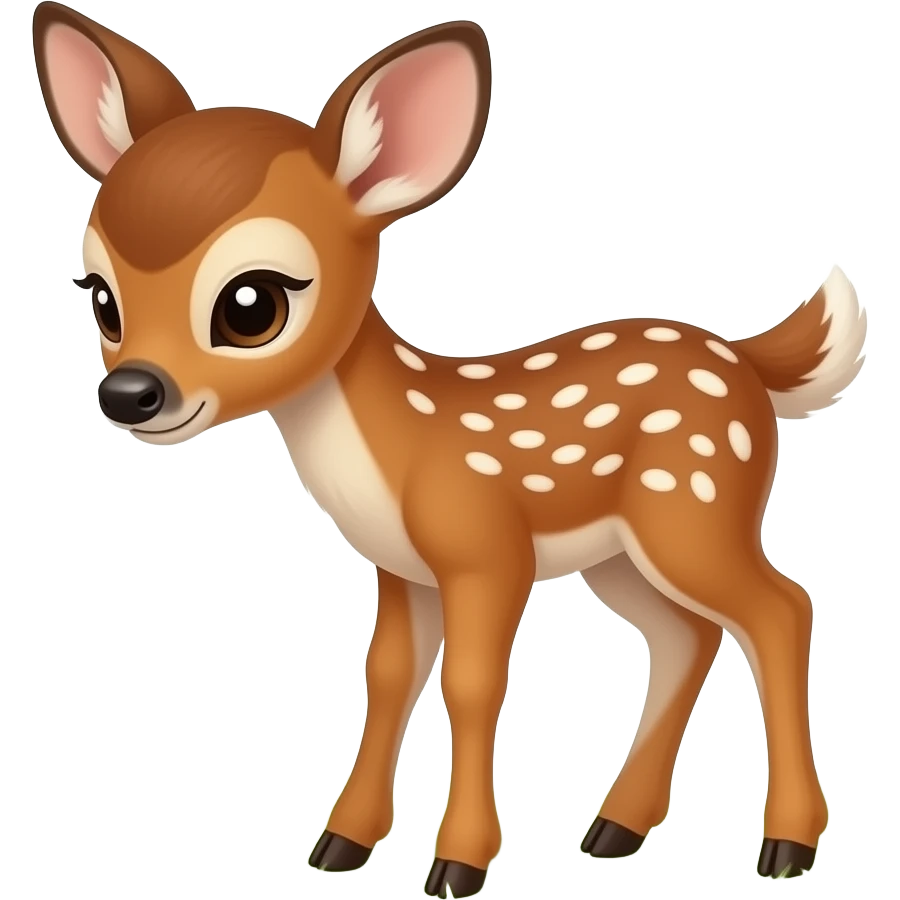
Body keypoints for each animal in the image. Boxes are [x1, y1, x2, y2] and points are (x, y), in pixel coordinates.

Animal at [32, 2, 866, 895]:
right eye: (101, 299)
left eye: (251, 304)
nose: (130, 394)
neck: (401, 446)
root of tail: (747, 363)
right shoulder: (403, 570)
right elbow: (388, 677)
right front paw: (343, 845)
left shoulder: (485, 550)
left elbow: (471, 685)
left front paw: (457, 863)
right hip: (621, 553)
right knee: (687, 637)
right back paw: (614, 828)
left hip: (697, 504)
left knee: (782, 609)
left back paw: (787, 846)